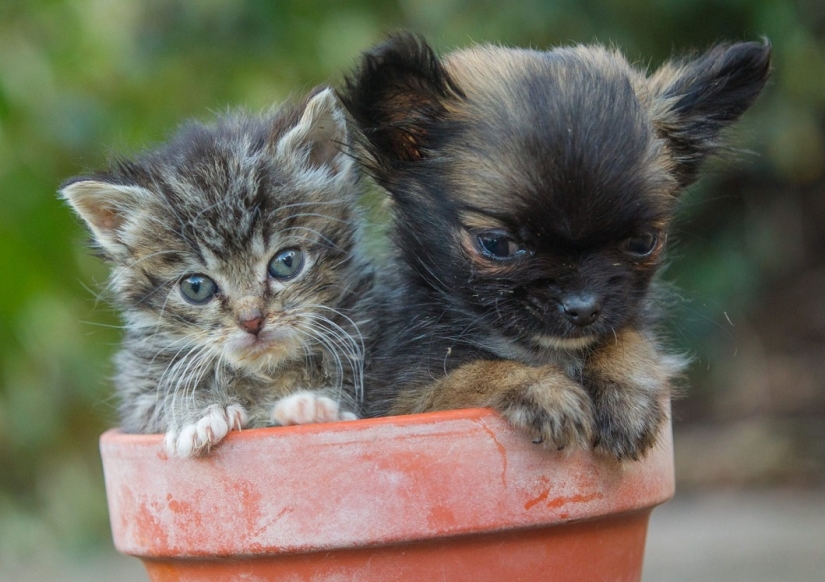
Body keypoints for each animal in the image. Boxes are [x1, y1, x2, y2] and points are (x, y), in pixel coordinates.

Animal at [62, 89, 372, 458]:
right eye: (196, 287)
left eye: (286, 262)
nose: (252, 321)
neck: (263, 372)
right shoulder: (139, 385)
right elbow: (157, 397)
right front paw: (198, 415)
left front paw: (314, 406)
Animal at [340, 33, 768, 460]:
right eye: (497, 244)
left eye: (643, 242)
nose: (583, 308)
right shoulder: (402, 403)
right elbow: (466, 378)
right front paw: (537, 388)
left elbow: (627, 336)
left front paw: (627, 388)